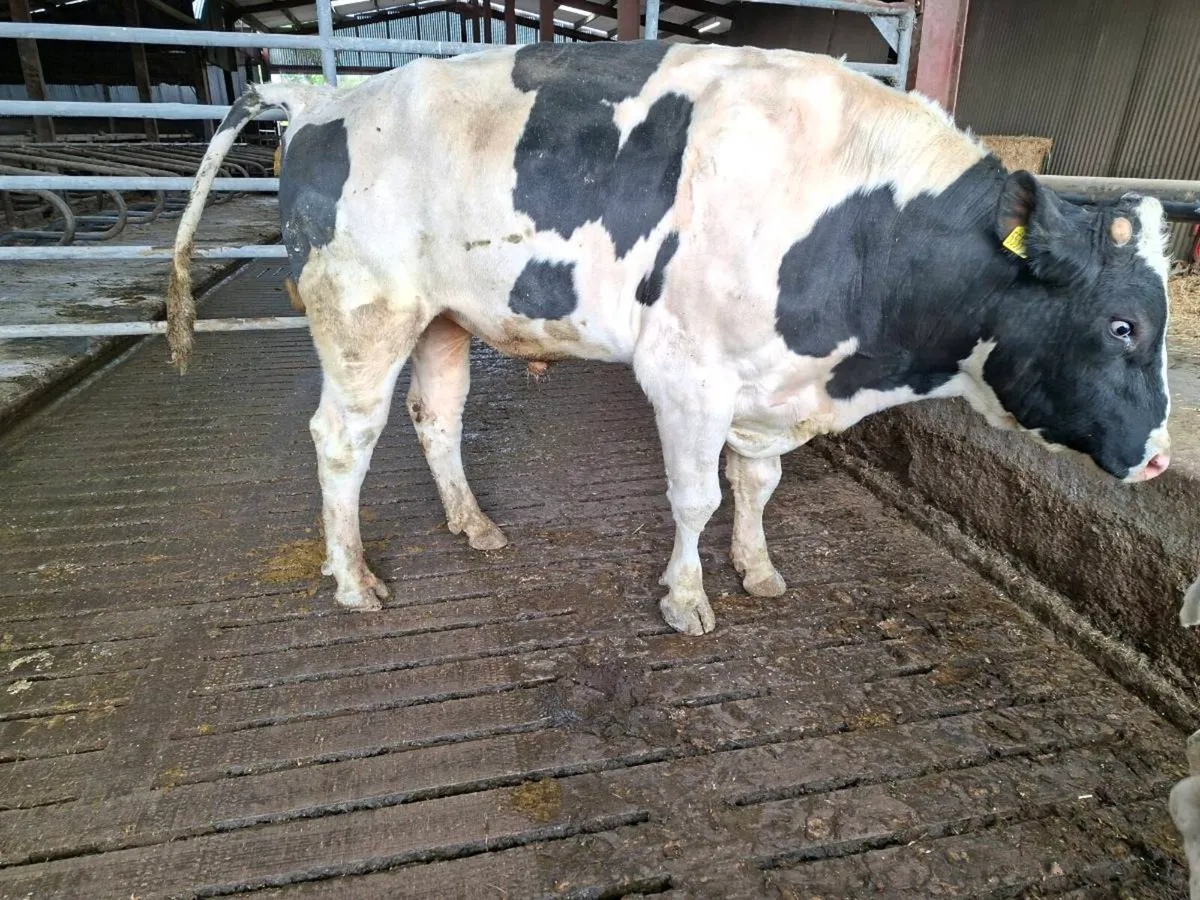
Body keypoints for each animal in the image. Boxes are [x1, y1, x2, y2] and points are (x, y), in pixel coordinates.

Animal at [167, 40, 1172, 636]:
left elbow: (757, 486)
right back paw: (353, 580)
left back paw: (474, 525)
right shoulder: (686, 374)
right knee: (343, 439)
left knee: (436, 415)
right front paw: (687, 597)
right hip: (362, 312)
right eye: (1121, 325)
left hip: (444, 317)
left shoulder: (771, 384)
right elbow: (696, 496)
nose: (1163, 456)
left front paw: (757, 569)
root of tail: (322, 99)